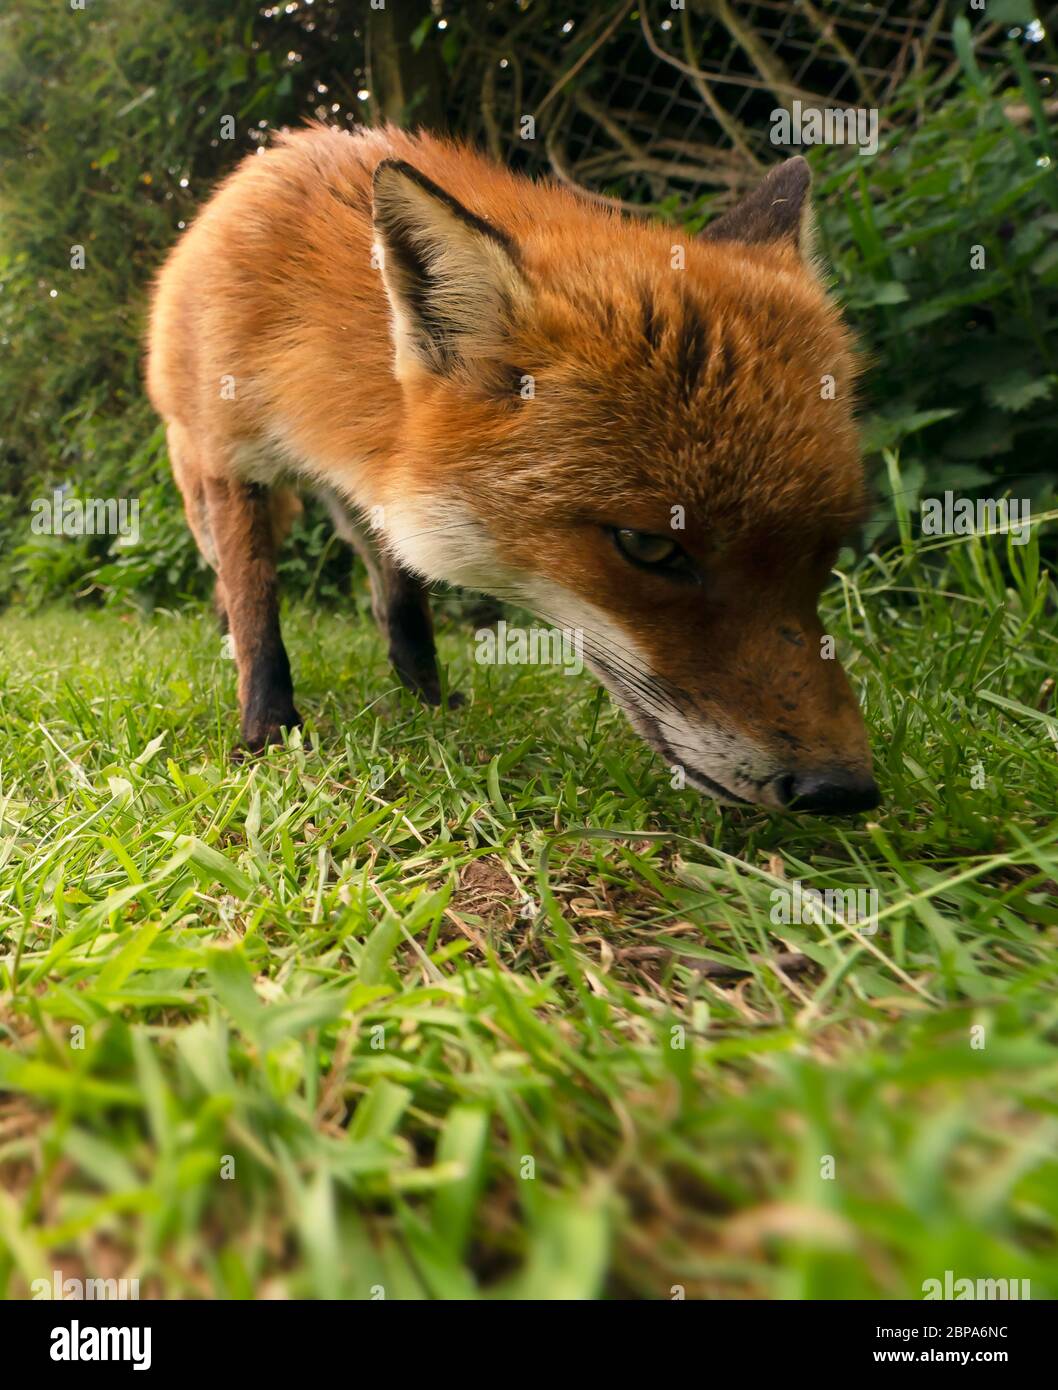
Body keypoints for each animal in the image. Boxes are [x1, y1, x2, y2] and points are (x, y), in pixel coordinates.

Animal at [146, 123, 879, 814]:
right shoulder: (229, 460)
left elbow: (407, 604)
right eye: (647, 546)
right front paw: (267, 733)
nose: (843, 791)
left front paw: (428, 702)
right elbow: (258, 612)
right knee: (231, 576)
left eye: (828, 549)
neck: (295, 314)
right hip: (202, 487)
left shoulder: (382, 476)